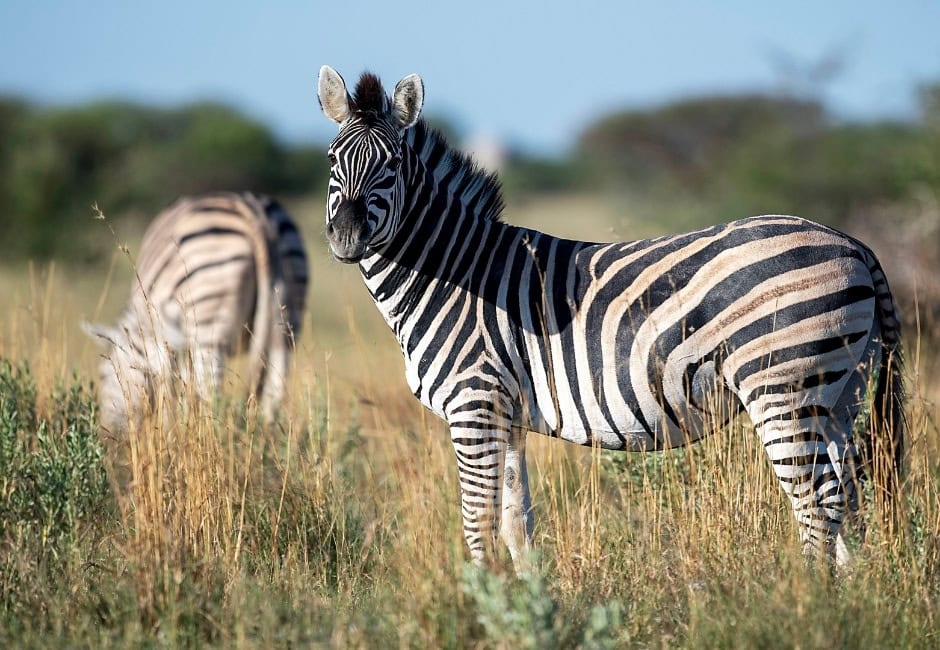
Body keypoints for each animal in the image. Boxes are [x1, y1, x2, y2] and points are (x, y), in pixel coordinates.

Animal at [83, 191, 308, 432]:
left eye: (103, 376)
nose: (106, 435)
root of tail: (255, 214)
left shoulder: (164, 340)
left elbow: (170, 393)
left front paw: (172, 433)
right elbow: (185, 394)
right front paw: (183, 427)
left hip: (209, 325)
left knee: (212, 395)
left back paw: (214, 437)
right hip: (287, 324)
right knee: (275, 388)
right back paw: (267, 436)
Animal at [316, 66, 904, 572]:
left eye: (392, 164)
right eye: (330, 159)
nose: (345, 238)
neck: (450, 272)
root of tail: (850, 241)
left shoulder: (474, 404)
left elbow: (476, 524)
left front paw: (479, 607)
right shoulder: (506, 414)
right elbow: (516, 525)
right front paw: (528, 609)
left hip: (782, 386)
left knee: (814, 505)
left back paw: (809, 600)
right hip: (840, 391)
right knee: (848, 497)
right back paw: (846, 601)